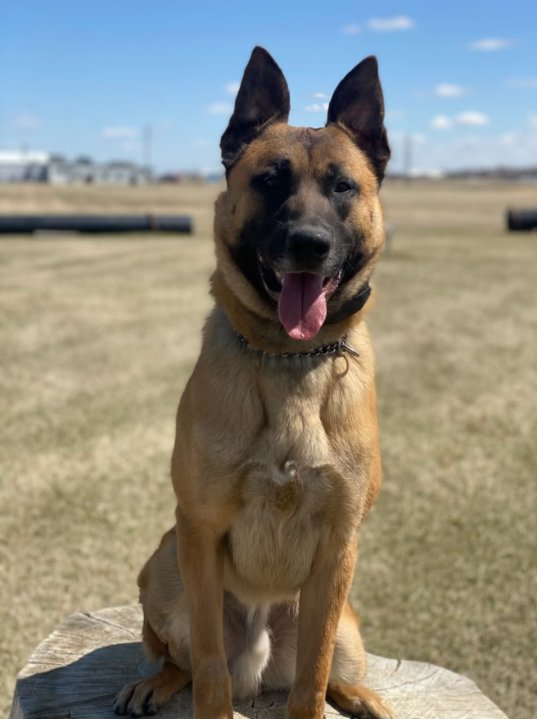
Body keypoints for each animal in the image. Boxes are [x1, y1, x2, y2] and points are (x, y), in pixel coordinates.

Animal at [115, 46, 392, 719]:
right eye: (270, 180)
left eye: (343, 186)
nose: (309, 245)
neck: (287, 360)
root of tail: (260, 660)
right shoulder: (200, 526)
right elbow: (210, 668)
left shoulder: (339, 548)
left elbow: (311, 680)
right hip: (164, 563)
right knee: (180, 657)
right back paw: (156, 682)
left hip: (347, 627)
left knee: (326, 670)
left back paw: (364, 695)